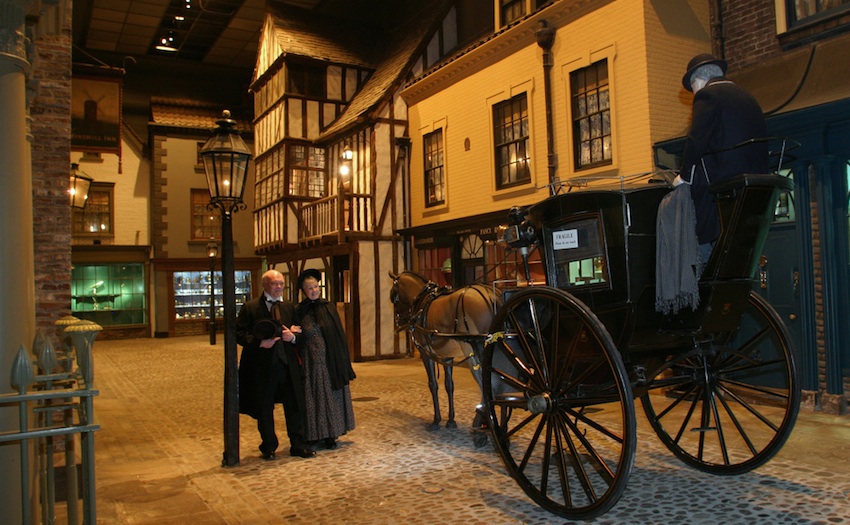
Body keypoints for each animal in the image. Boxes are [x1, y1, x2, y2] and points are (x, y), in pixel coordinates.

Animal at [390, 270, 500, 446]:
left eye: (393, 296)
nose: (398, 321)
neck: (421, 302)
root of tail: (490, 296)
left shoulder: (425, 353)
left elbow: (433, 385)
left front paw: (436, 420)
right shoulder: (447, 357)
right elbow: (449, 385)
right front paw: (451, 420)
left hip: (475, 353)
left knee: (488, 386)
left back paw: (480, 428)